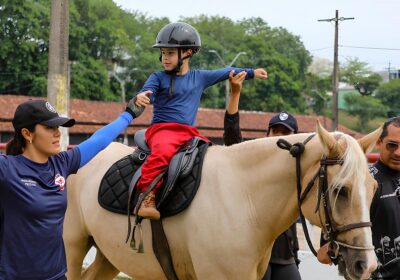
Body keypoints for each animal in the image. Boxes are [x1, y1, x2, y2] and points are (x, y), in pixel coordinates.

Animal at [64, 123, 380, 278]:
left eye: (373, 187)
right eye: (341, 190)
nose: (367, 265)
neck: (244, 197)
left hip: (108, 256)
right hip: (74, 246)